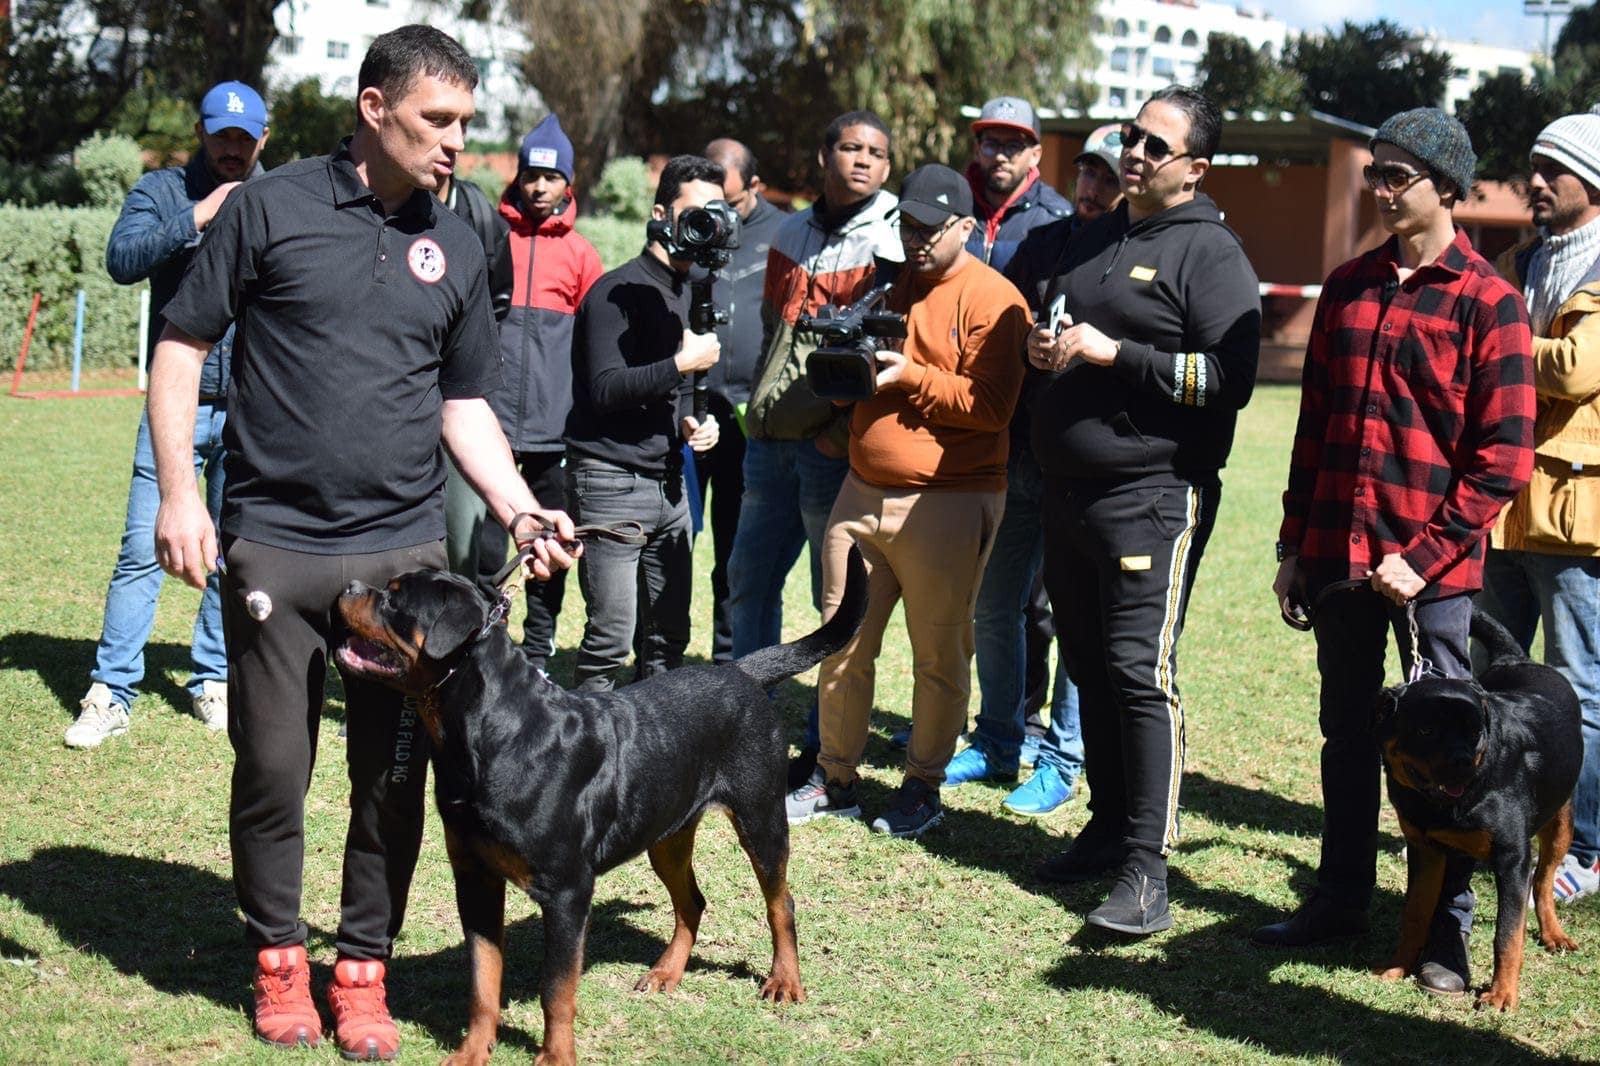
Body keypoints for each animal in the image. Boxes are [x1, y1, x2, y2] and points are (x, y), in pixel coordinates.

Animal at [334, 547, 866, 1066]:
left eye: (396, 599)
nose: (350, 584)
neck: (486, 736)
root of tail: (741, 671)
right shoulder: (475, 876)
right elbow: (483, 981)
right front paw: (470, 1053)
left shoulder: (568, 890)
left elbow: (556, 989)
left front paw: (554, 1058)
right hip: (666, 832)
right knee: (692, 901)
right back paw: (666, 972)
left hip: (760, 816)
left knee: (781, 902)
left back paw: (785, 981)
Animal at [1373, 607, 1581, 1010]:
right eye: (1425, 730)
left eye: (1475, 732)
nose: (1462, 762)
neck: (1443, 805)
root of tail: (1515, 657)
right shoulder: (1425, 849)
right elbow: (1415, 913)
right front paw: (1397, 966)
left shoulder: (1513, 860)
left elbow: (1508, 933)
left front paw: (1501, 994)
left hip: (1562, 817)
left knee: (1544, 878)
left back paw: (1554, 934)